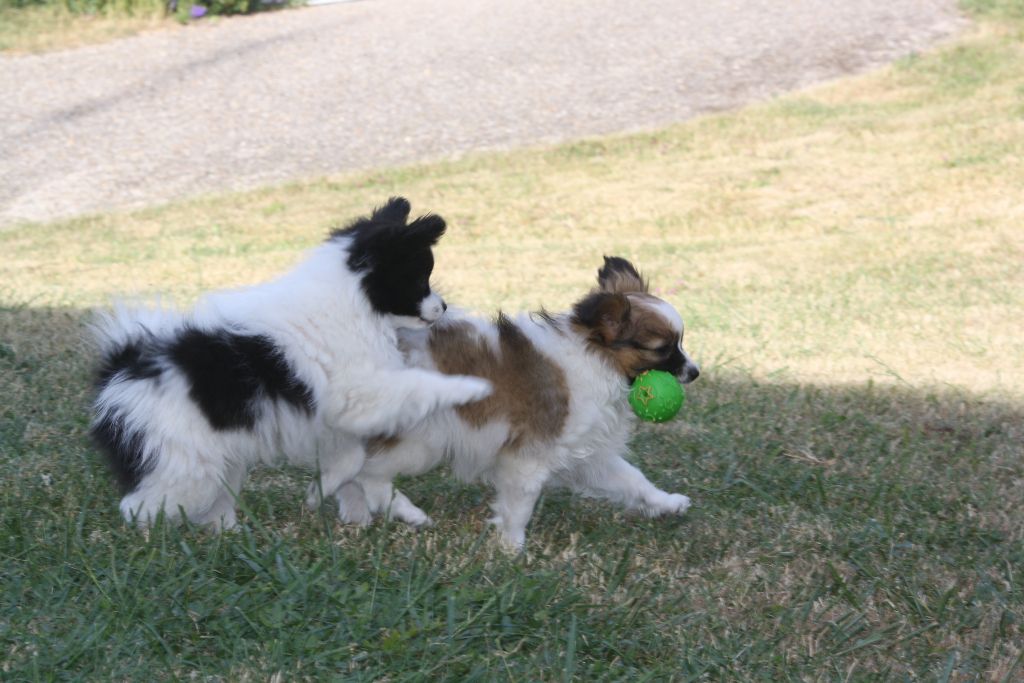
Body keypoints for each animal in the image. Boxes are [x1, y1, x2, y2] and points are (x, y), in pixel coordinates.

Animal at [90, 197, 489, 528]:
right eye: (420, 280)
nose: (444, 307)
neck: (353, 298)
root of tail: (123, 369)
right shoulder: (360, 395)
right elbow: (419, 384)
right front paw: (473, 386)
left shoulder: (333, 422)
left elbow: (353, 464)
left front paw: (356, 507)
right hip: (187, 467)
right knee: (139, 507)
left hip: (221, 461)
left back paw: (229, 534)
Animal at [339, 255, 700, 548]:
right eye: (662, 349)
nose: (695, 372)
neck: (597, 359)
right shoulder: (528, 457)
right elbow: (521, 504)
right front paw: (512, 549)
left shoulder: (587, 454)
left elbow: (634, 480)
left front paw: (667, 503)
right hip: (422, 443)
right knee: (367, 475)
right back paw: (406, 512)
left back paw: (357, 517)